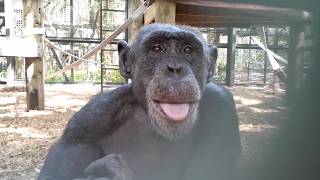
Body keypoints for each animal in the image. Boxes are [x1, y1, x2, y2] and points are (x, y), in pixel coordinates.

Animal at [38, 23, 240, 180]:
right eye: (157, 49)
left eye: (188, 50)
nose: (174, 68)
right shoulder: (85, 124)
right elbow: (53, 175)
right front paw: (110, 169)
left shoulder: (222, 107)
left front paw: (112, 170)